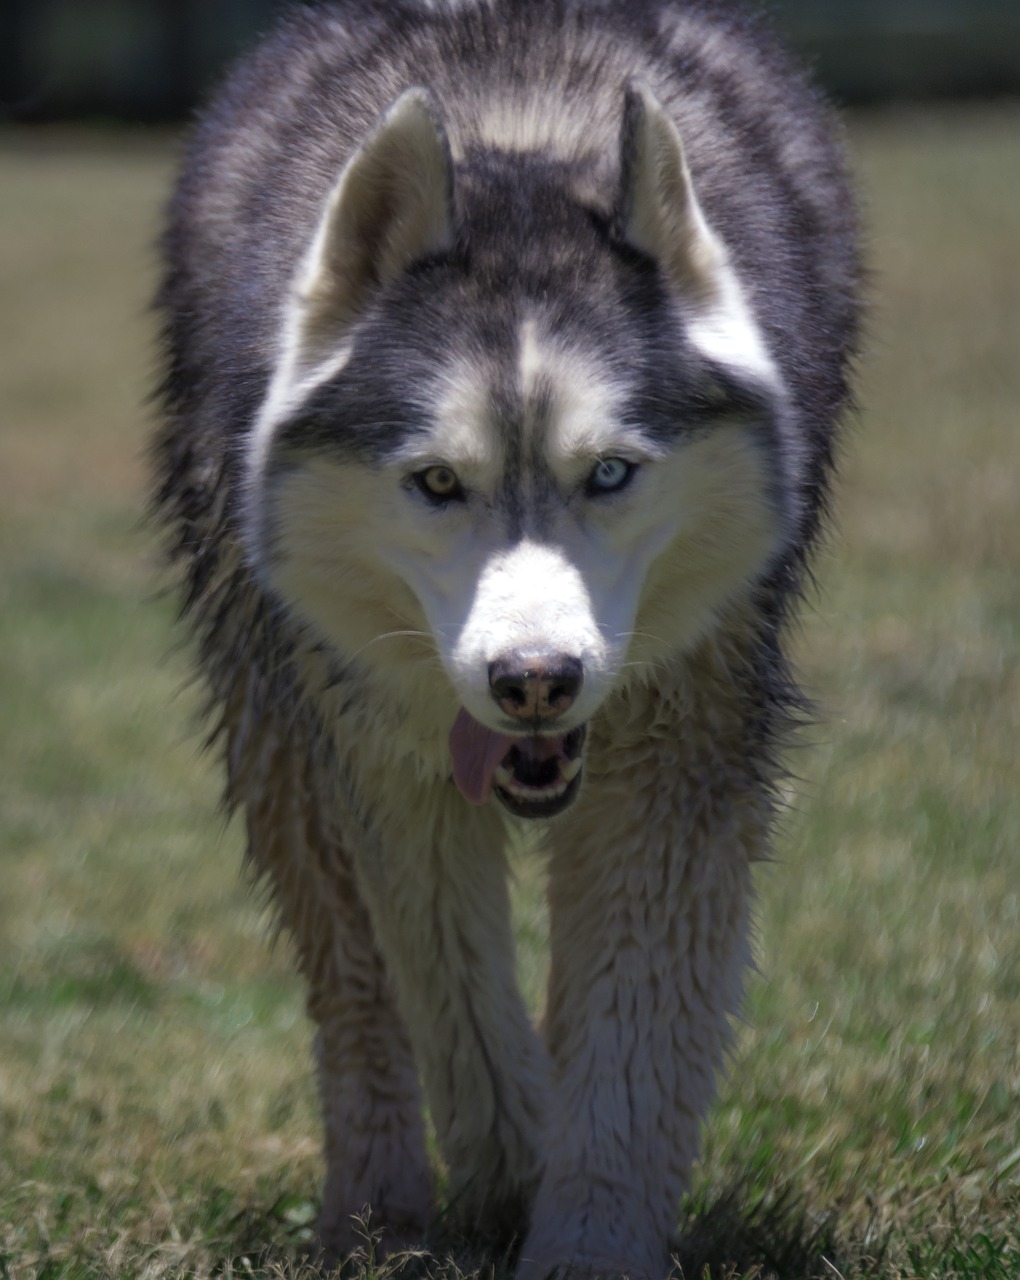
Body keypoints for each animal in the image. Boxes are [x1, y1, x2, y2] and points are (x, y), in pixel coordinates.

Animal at [151, 2, 854, 1269]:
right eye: (437, 482)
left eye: (611, 473)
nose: (537, 680)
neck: (513, 147)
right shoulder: (386, 734)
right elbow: (448, 979)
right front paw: (508, 1171)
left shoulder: (685, 726)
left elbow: (633, 1014)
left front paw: (589, 1232)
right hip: (267, 693)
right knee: (352, 975)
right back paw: (375, 1204)